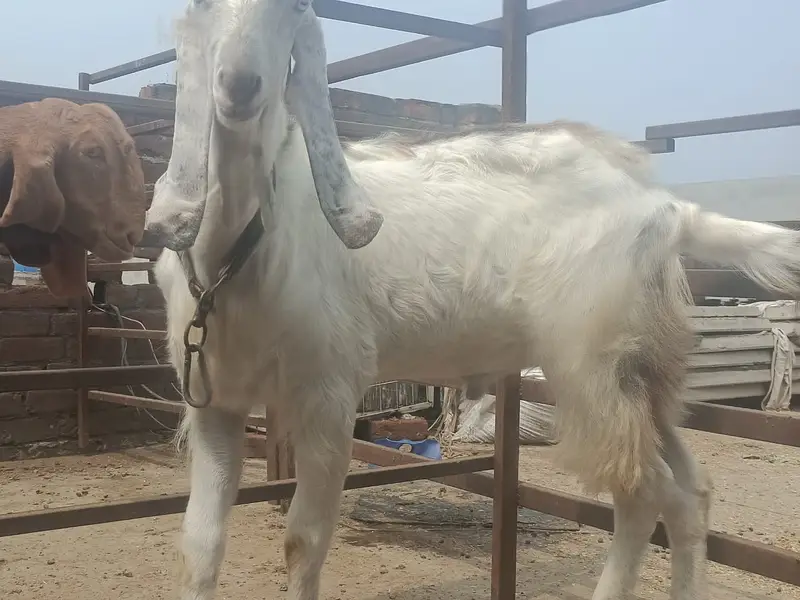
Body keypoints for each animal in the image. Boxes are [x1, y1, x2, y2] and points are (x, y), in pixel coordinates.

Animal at [143, 3, 800, 600]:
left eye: (292, 10)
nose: (240, 85)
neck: (243, 254)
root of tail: (666, 210)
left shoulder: (329, 391)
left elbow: (303, 543)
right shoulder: (214, 403)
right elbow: (200, 544)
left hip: (594, 363)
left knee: (641, 490)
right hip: (646, 371)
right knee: (690, 491)